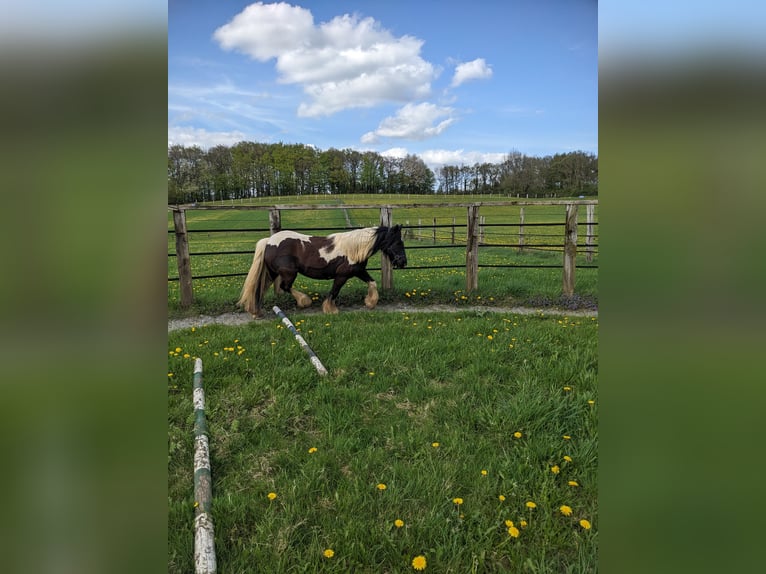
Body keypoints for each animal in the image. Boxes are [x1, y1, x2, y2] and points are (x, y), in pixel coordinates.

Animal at [238, 226, 408, 318]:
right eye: (398, 243)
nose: (403, 262)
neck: (353, 248)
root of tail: (269, 241)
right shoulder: (342, 275)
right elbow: (334, 291)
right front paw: (330, 309)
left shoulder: (359, 271)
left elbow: (372, 282)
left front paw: (370, 303)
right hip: (289, 273)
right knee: (284, 287)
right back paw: (304, 301)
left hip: (273, 273)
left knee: (260, 288)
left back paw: (256, 312)